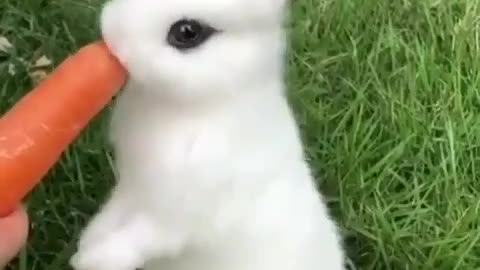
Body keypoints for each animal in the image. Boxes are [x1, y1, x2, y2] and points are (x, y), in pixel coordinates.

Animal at [70, 0, 344, 270]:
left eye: (187, 32)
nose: (111, 31)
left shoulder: (178, 217)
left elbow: (141, 238)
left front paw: (88, 259)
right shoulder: (131, 187)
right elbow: (113, 213)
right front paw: (89, 240)